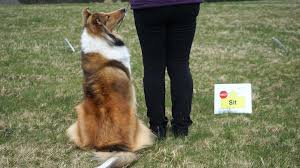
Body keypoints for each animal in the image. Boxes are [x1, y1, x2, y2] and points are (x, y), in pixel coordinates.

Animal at [66, 7, 155, 167]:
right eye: (107, 16)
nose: (124, 8)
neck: (101, 37)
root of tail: (112, 145)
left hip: (78, 115)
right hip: (141, 125)